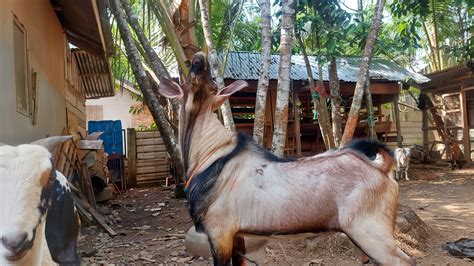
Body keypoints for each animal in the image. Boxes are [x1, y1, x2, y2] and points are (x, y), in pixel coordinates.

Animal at [156, 52, 414, 266]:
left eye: (211, 84)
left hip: (370, 232)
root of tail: (383, 166)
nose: (199, 59)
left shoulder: (219, 232)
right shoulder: (236, 235)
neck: (210, 153)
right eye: (190, 82)